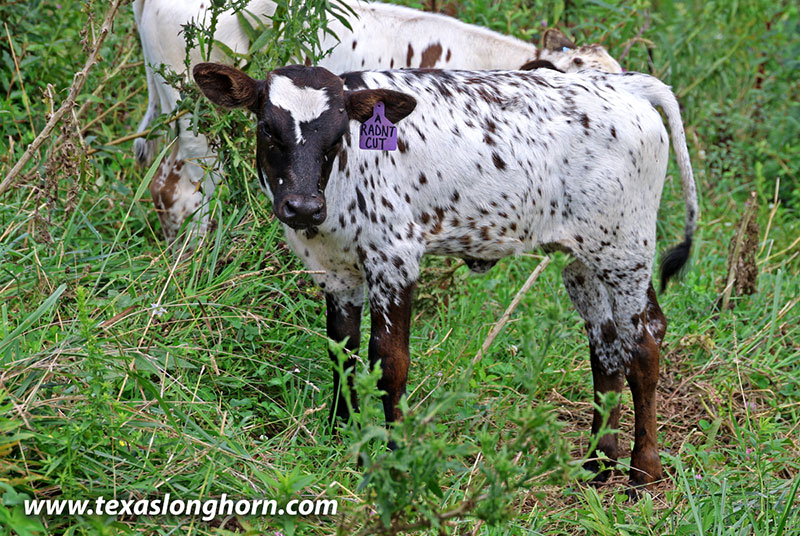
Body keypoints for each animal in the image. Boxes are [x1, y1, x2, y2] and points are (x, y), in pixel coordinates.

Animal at [191, 60, 698, 491]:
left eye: (337, 135)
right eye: (267, 129)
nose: (301, 207)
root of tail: (623, 85)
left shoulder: (394, 260)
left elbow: (390, 360)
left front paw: (396, 453)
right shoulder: (334, 273)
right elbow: (342, 352)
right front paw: (340, 436)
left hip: (625, 249)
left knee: (644, 342)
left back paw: (643, 470)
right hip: (583, 259)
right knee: (607, 345)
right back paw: (598, 462)